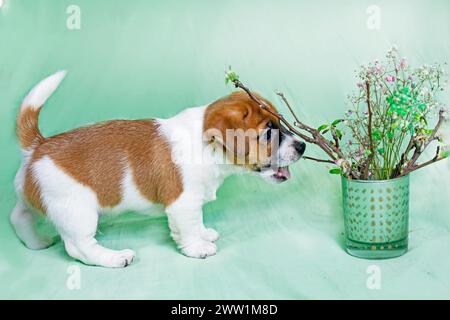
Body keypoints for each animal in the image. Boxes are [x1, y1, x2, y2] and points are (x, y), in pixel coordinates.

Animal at [11, 70, 306, 268]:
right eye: (268, 133)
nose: (303, 145)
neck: (206, 145)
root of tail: (39, 146)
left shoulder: (193, 202)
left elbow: (197, 221)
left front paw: (204, 233)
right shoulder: (183, 204)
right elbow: (188, 227)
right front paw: (198, 247)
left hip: (37, 199)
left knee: (19, 216)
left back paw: (35, 242)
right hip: (78, 212)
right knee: (79, 248)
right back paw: (115, 258)